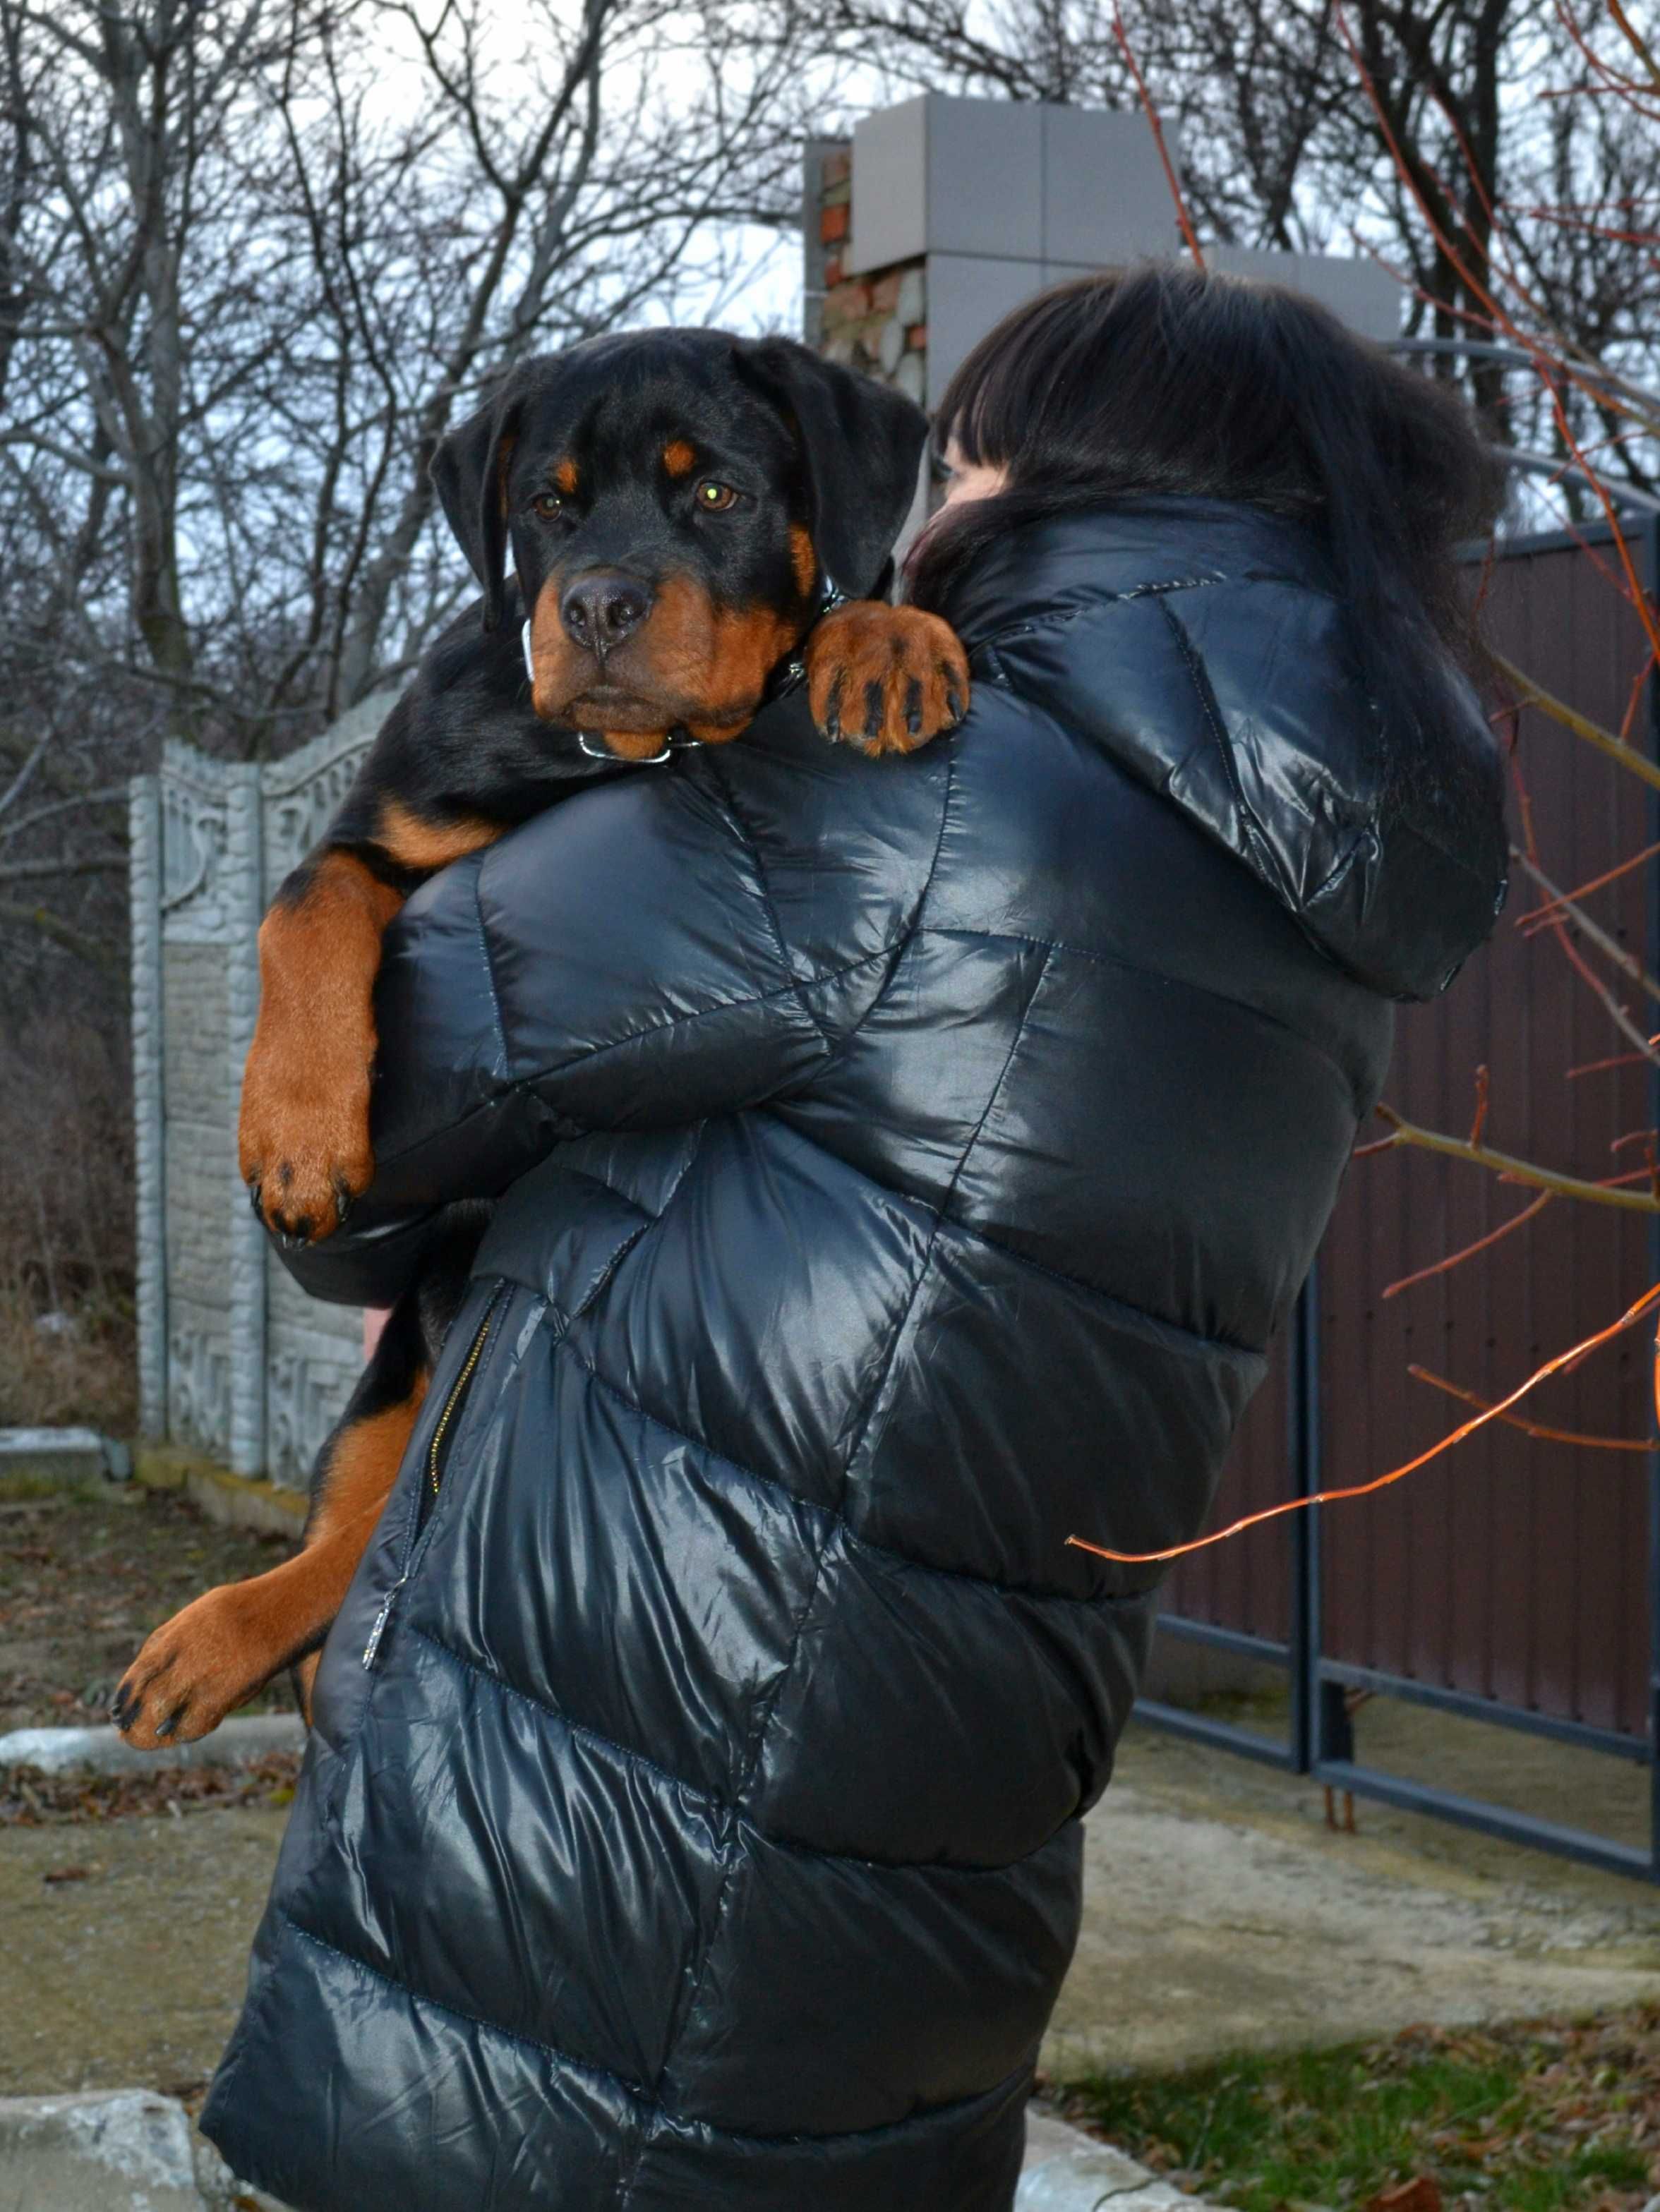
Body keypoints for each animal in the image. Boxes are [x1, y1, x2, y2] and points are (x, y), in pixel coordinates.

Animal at [117, 322, 969, 1743]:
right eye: (548, 507)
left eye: (719, 493)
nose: (600, 607)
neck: (608, 758)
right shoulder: (388, 824)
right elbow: (304, 905)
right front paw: (294, 1135)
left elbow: (839, 599)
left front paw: (885, 637)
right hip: (390, 1372)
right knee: (354, 1535)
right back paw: (211, 1643)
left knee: (380, 1548)